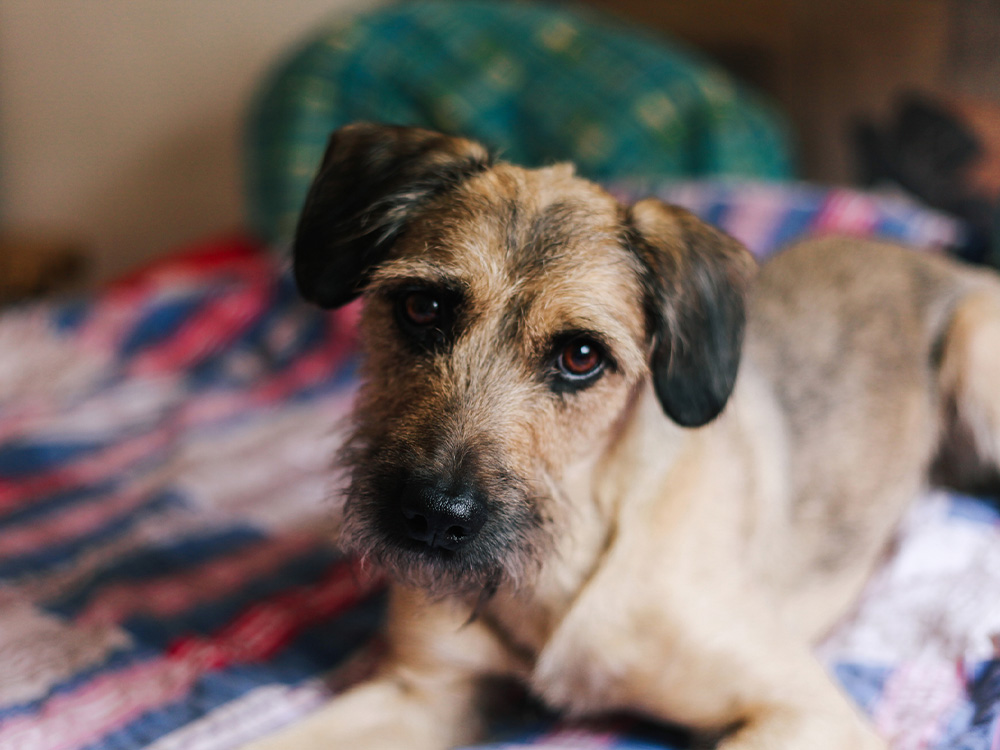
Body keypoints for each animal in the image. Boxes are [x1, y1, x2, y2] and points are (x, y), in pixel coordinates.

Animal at [248, 125, 1000, 750]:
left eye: (581, 356)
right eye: (422, 306)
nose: (434, 518)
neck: (556, 563)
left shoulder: (804, 712)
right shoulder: (421, 695)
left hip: (975, 347)